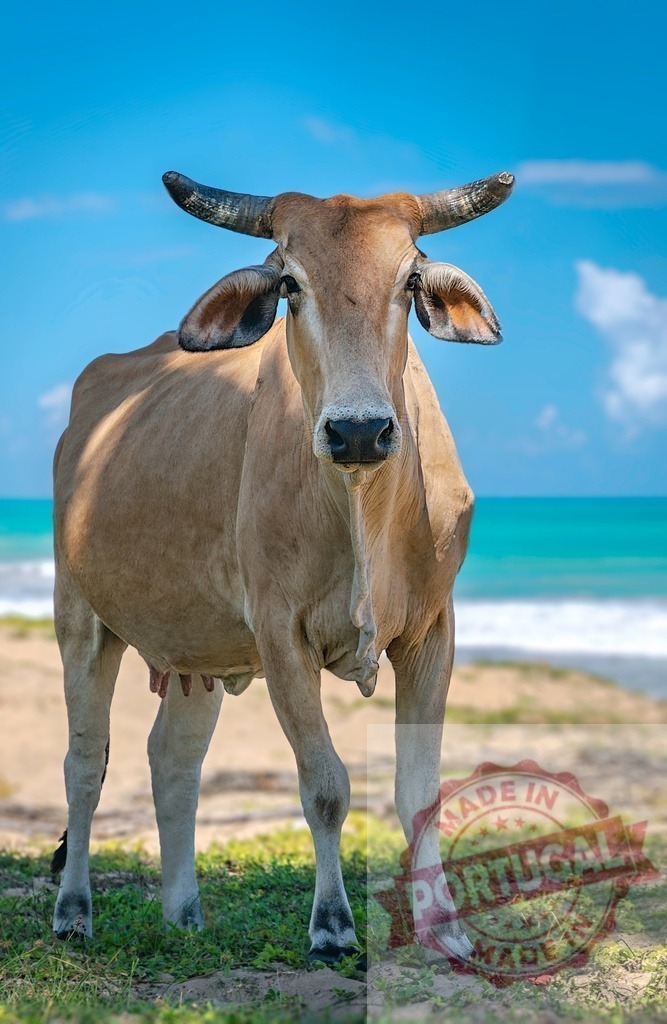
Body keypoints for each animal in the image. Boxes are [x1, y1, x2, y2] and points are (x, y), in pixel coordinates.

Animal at [50, 168, 513, 965]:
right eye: (290, 282)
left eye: (409, 279)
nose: (358, 429)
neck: (365, 506)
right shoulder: (280, 635)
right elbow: (324, 785)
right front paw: (330, 925)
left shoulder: (432, 632)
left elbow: (419, 790)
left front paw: (444, 926)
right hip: (80, 618)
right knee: (86, 763)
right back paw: (73, 911)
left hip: (198, 651)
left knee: (172, 760)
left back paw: (183, 912)